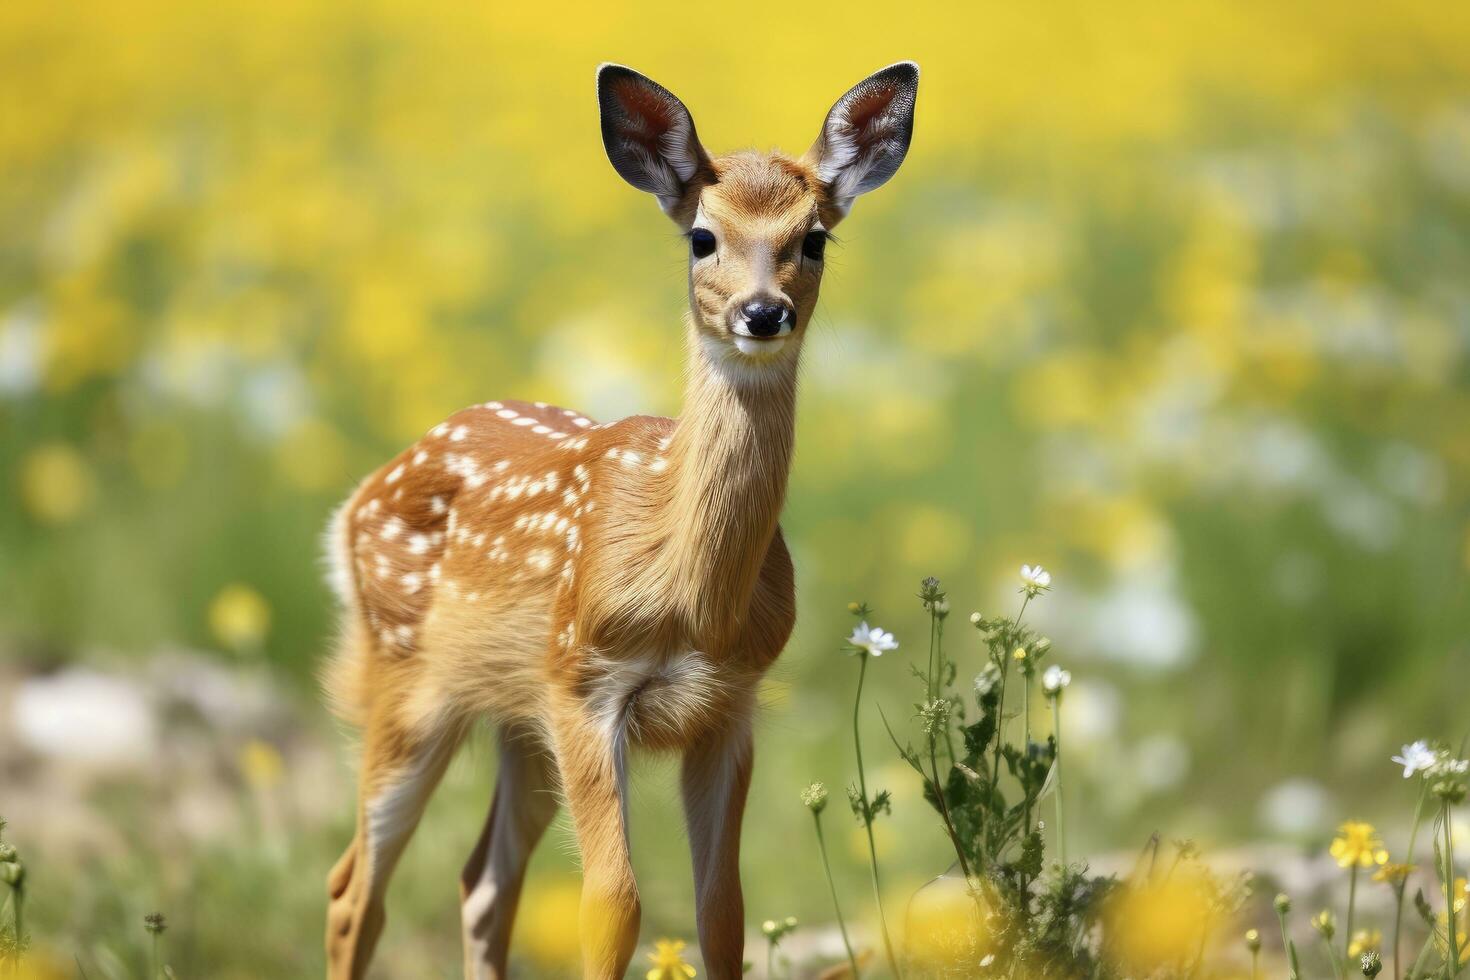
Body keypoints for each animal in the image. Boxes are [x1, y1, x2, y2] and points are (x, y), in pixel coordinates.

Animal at [321, 63, 917, 980]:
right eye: (701, 238)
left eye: (814, 239)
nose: (762, 312)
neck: (690, 591)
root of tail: (360, 495)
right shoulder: (585, 684)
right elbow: (613, 904)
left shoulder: (729, 706)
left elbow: (722, 911)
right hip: (408, 685)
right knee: (354, 888)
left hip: (515, 719)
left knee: (480, 883)